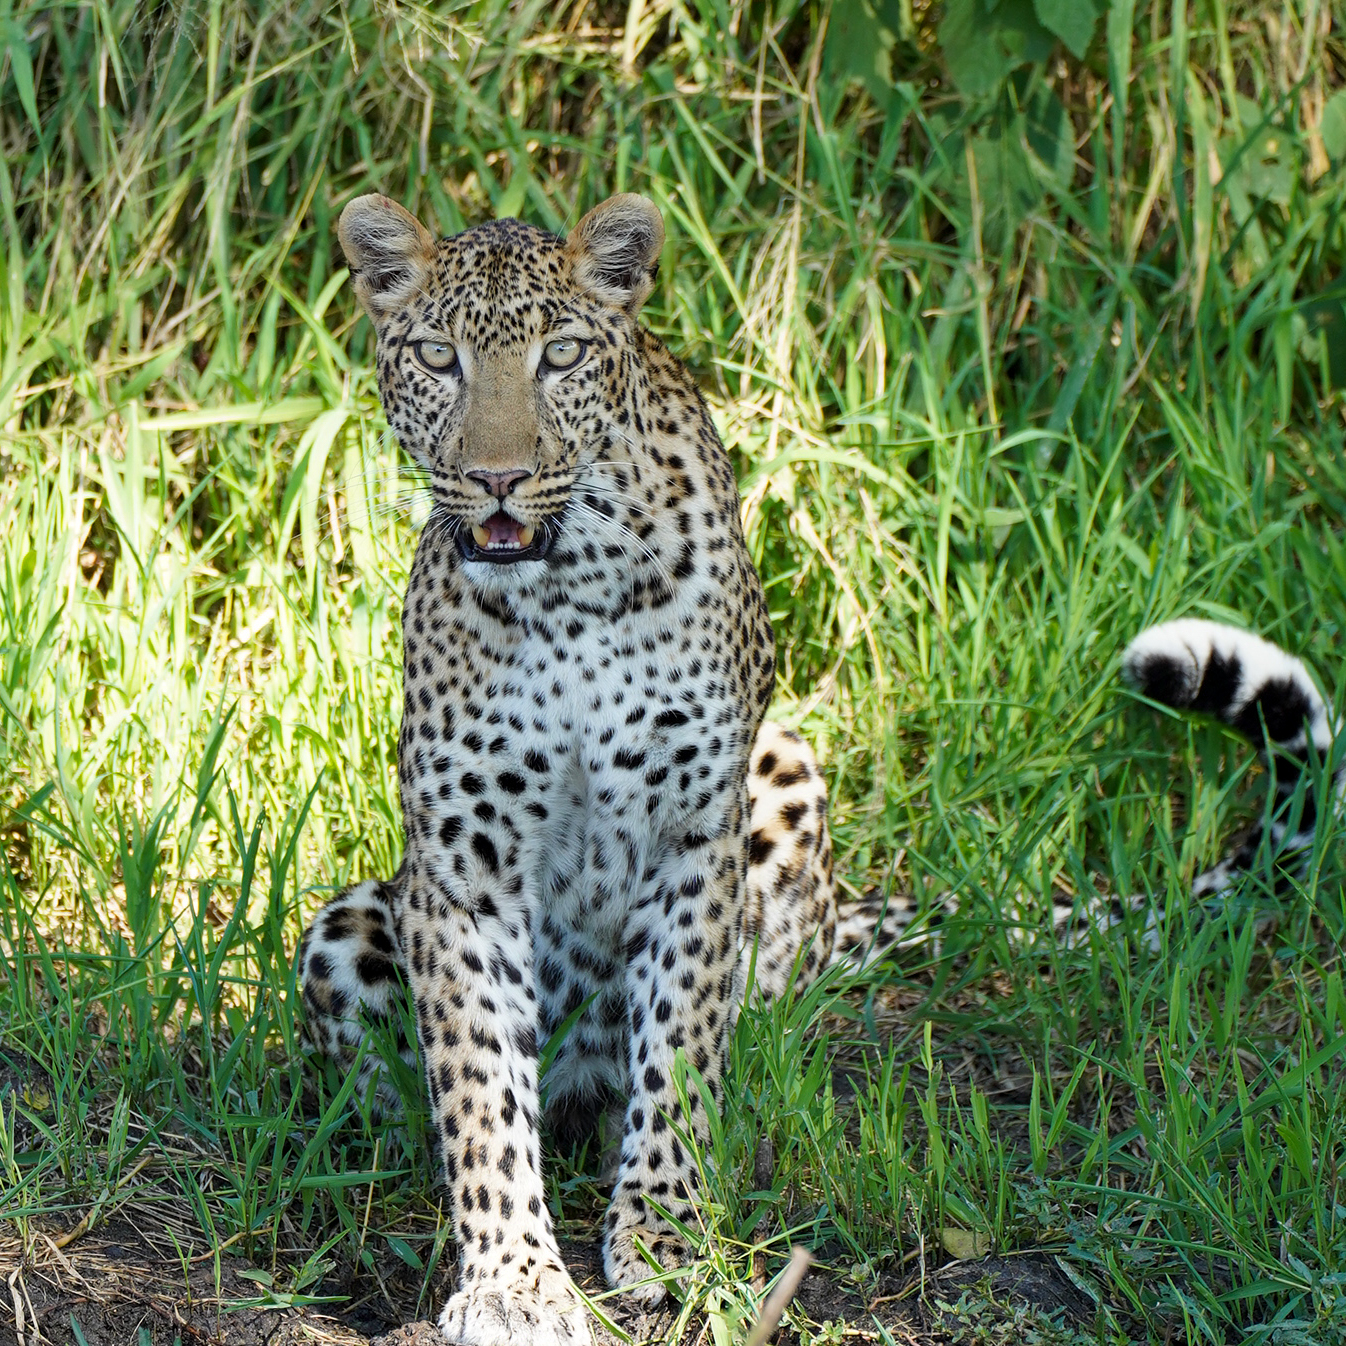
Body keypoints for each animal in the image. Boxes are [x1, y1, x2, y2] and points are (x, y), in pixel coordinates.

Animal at [296, 191, 1343, 1346]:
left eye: (559, 353)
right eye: (437, 357)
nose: (497, 478)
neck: (563, 588)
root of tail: (843, 906)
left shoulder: (693, 836)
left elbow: (680, 1050)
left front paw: (668, 1235)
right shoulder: (461, 866)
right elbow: (481, 1089)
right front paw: (513, 1278)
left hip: (784, 768)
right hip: (345, 922)